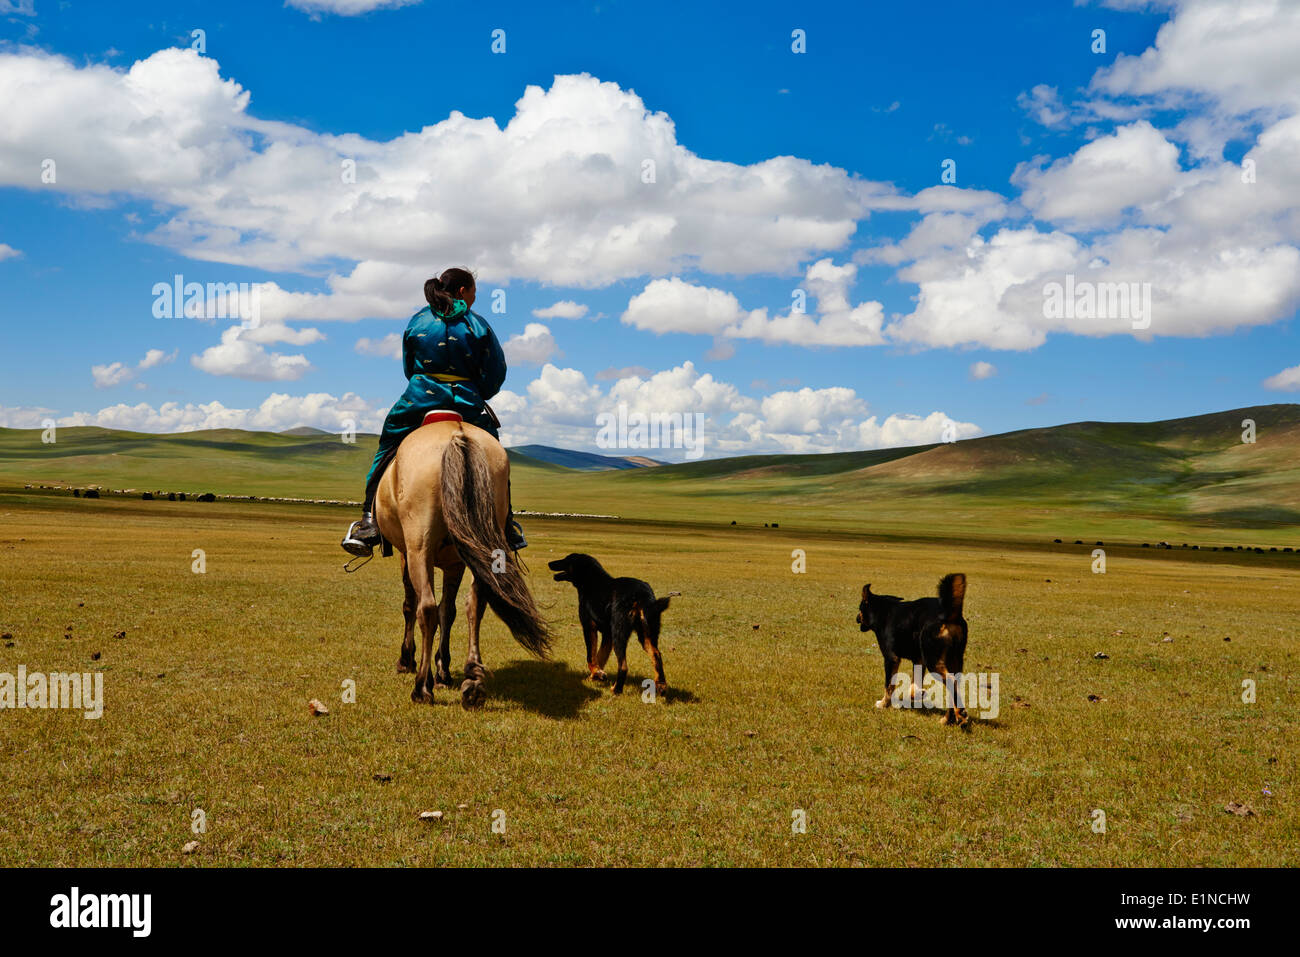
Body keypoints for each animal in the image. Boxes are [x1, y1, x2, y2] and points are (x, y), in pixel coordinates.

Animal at [371, 421, 548, 712]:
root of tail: (457, 433)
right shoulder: (455, 563)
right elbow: (450, 611)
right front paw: (443, 670)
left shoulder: (406, 554)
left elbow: (412, 605)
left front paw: (408, 660)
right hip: (482, 544)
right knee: (474, 603)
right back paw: (472, 681)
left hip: (419, 546)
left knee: (426, 608)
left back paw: (422, 688)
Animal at [546, 553, 670, 696]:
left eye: (566, 560)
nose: (549, 563)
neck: (591, 580)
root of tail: (640, 594)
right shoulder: (607, 634)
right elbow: (600, 656)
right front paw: (596, 676)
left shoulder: (589, 627)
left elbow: (590, 657)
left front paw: (596, 674)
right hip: (647, 633)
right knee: (656, 654)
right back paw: (661, 685)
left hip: (619, 632)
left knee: (623, 665)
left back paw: (616, 690)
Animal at [857, 574, 972, 722]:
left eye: (859, 608)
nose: (856, 618)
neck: (882, 612)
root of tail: (949, 613)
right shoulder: (919, 660)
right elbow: (914, 686)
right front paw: (919, 694)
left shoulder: (891, 658)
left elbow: (889, 685)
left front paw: (883, 704)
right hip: (954, 659)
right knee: (955, 686)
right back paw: (948, 719)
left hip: (933, 661)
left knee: (951, 682)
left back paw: (959, 714)